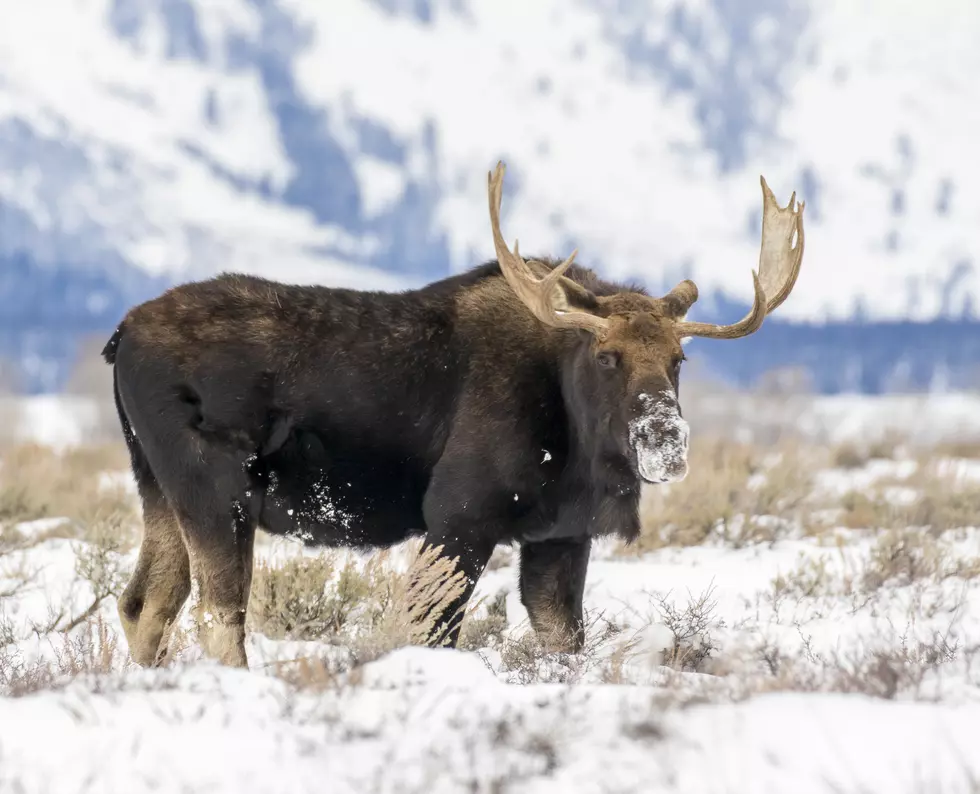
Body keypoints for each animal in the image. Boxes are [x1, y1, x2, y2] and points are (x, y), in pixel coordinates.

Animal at [103, 162, 804, 668]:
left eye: (679, 359)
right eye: (607, 356)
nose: (665, 439)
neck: (573, 430)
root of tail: (120, 335)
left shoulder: (559, 535)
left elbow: (563, 641)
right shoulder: (458, 517)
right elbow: (429, 631)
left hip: (157, 486)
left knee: (145, 604)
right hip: (216, 488)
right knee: (219, 617)